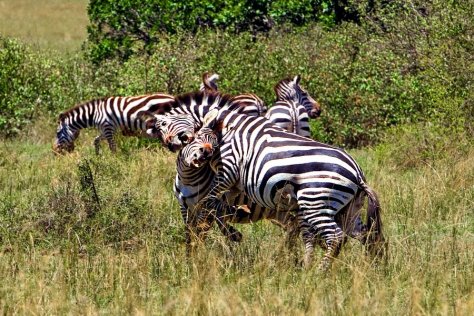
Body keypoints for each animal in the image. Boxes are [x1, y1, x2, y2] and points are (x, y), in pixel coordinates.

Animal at [181, 110, 386, 270]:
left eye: (193, 138)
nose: (203, 154)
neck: (225, 135)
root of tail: (358, 174)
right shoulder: (233, 183)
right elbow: (217, 202)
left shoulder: (229, 169)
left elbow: (209, 198)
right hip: (349, 210)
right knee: (368, 235)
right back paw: (372, 270)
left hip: (317, 203)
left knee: (336, 237)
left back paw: (318, 274)